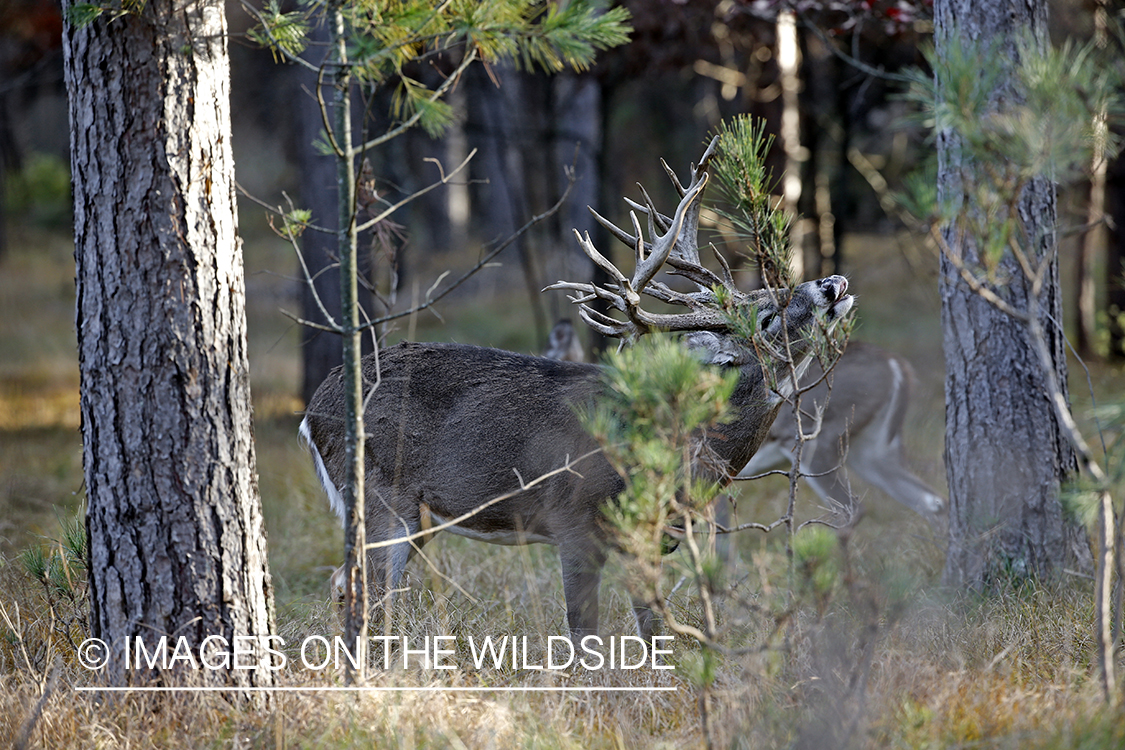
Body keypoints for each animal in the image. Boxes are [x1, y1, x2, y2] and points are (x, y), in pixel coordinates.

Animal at [297, 134, 850, 638]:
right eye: (766, 314)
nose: (833, 284)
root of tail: (312, 410)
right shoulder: (574, 522)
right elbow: (585, 634)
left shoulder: (650, 541)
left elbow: (654, 631)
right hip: (381, 496)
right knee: (366, 593)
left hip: (417, 518)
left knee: (343, 584)